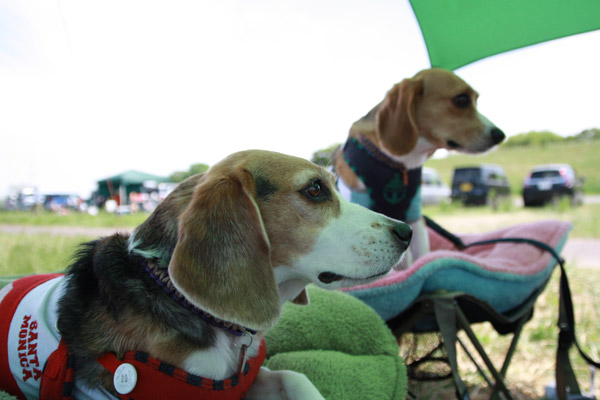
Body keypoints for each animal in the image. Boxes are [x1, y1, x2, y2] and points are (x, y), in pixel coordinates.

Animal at [330, 67, 504, 264]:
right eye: (461, 100)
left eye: (476, 100)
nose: (500, 135)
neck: (399, 166)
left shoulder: (415, 218)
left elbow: (421, 255)